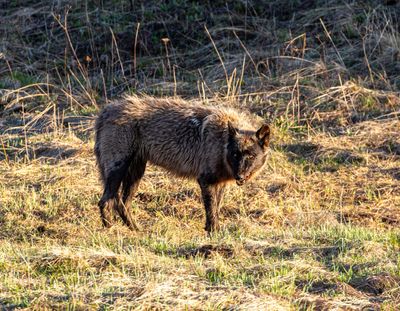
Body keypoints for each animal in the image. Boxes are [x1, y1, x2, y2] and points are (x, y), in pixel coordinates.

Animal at [94, 96, 268, 233]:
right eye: (235, 154)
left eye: (251, 156)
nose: (239, 176)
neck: (221, 140)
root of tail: (106, 110)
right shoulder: (205, 181)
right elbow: (211, 211)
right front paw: (214, 234)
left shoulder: (219, 183)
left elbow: (216, 209)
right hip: (119, 170)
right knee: (105, 202)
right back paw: (111, 231)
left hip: (136, 174)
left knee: (122, 204)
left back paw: (136, 230)